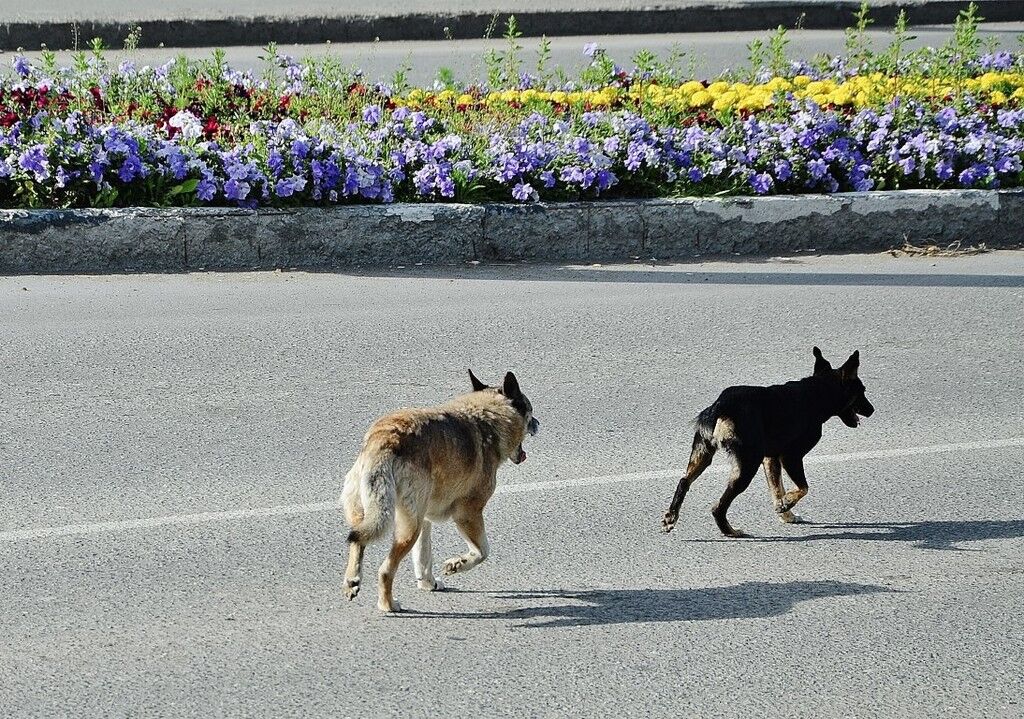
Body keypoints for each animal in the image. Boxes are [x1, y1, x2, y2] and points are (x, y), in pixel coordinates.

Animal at [663, 346, 872, 536]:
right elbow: (803, 487)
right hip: (747, 466)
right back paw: (730, 531)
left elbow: (777, 489)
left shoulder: (771, 459)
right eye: (862, 391)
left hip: (703, 453)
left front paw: (786, 513)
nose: (872, 410)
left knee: (684, 481)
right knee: (718, 507)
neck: (817, 393)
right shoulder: (790, 456)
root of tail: (721, 406)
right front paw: (788, 503)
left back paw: (671, 517)